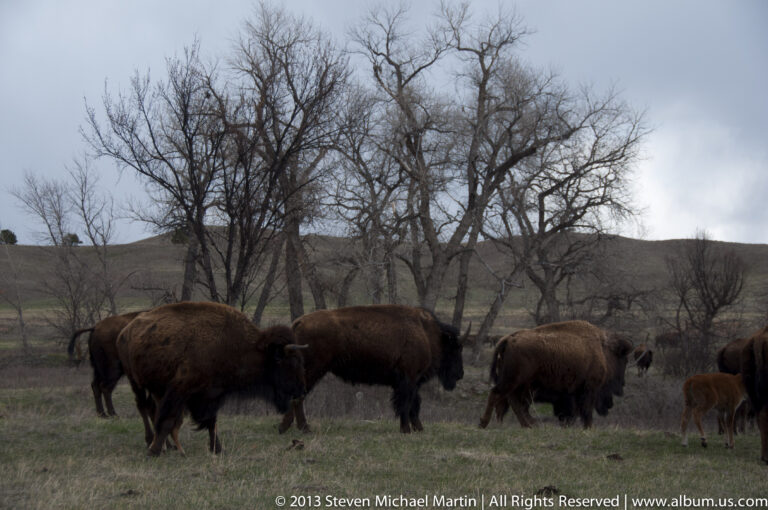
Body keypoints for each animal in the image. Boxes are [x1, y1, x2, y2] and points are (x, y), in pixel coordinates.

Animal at [116, 302, 307, 456]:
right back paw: (152, 442)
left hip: (156, 388)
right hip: (136, 382)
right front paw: (153, 452)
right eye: (288, 362)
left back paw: (166, 446)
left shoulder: (212, 394)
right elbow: (169, 419)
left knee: (152, 409)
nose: (300, 389)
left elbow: (211, 422)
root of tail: (126, 331)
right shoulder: (180, 389)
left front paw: (218, 449)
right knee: (144, 407)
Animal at [277, 305, 466, 434]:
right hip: (314, 370)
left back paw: (286, 428)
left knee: (296, 397)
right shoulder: (409, 379)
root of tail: (299, 322)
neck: (427, 333)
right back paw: (304, 428)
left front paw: (418, 428)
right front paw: (406, 430)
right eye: (455, 348)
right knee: (298, 397)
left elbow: (414, 404)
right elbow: (406, 404)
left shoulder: (412, 382)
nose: (460, 374)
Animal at [478, 320, 633, 429]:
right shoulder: (589, 389)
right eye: (623, 360)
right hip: (512, 382)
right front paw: (588, 428)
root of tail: (508, 339)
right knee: (497, 395)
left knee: (511, 403)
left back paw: (528, 425)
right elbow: (586, 411)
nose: (622, 385)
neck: (602, 350)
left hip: (517, 385)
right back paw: (483, 423)